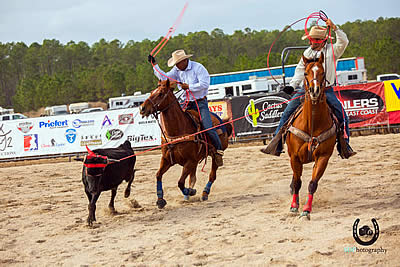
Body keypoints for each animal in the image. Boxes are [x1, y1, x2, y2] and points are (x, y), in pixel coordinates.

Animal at [139, 79, 231, 209]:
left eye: (161, 93)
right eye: (152, 92)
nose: (142, 108)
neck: (178, 129)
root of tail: (222, 121)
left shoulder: (190, 161)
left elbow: (180, 182)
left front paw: (190, 191)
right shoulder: (166, 160)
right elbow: (158, 175)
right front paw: (160, 200)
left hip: (213, 156)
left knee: (212, 175)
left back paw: (204, 193)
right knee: (193, 178)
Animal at [288, 54, 338, 220]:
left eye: (322, 72)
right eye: (305, 73)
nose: (314, 90)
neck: (312, 124)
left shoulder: (323, 157)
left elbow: (312, 183)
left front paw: (306, 210)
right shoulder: (295, 157)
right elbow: (298, 182)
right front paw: (294, 206)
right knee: (295, 179)